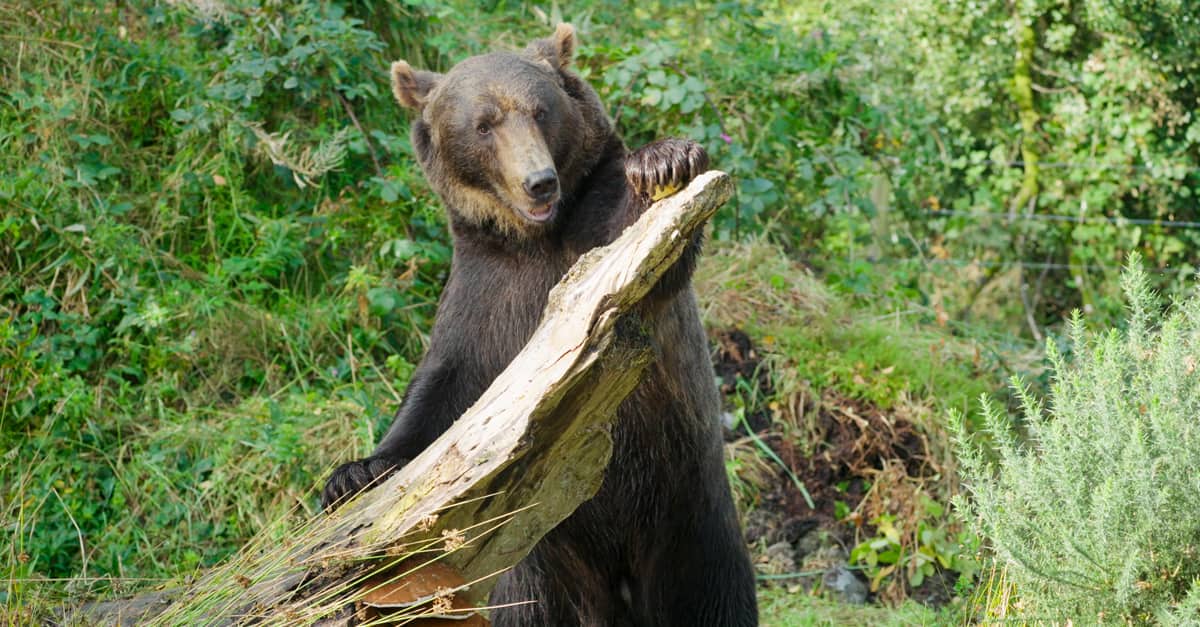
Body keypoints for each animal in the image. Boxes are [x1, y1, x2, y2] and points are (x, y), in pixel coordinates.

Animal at [322, 24, 758, 627]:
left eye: (540, 110)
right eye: (483, 124)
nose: (539, 183)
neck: (536, 239)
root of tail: (620, 582)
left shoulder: (593, 240)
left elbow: (646, 251)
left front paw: (664, 160)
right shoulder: (487, 293)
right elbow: (441, 390)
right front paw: (354, 473)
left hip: (690, 519)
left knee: (712, 598)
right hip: (542, 563)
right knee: (531, 606)